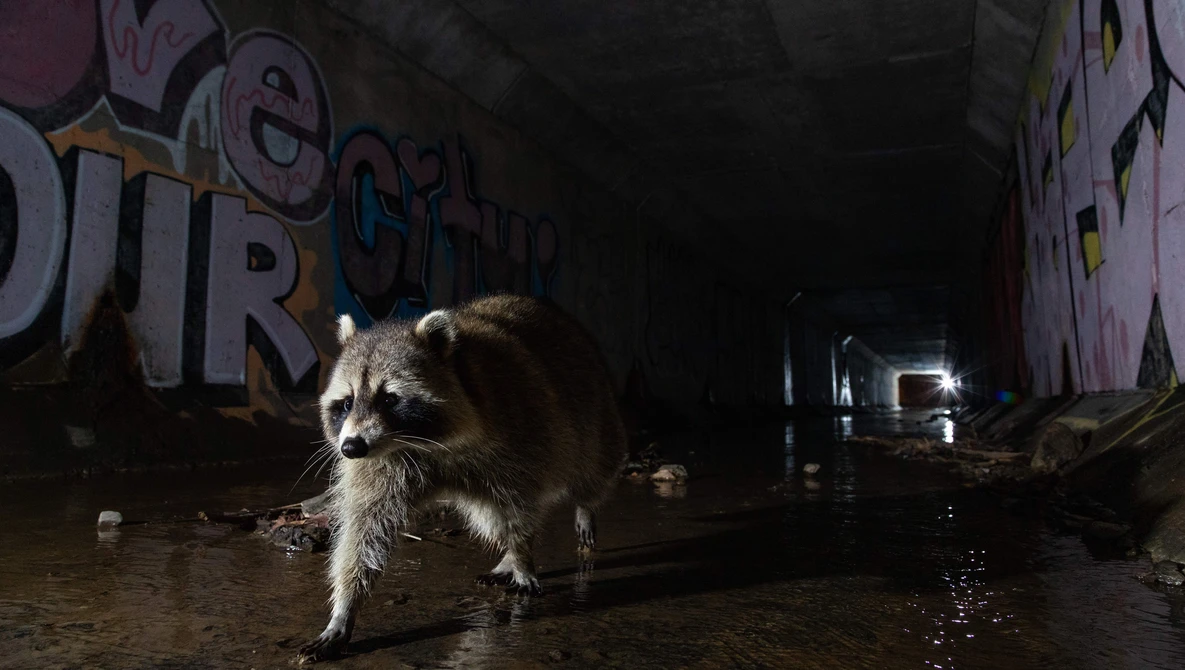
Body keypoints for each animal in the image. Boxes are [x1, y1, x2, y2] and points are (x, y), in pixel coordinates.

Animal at [297, 294, 627, 663]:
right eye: (347, 402)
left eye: (389, 398)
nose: (351, 448)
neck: (420, 443)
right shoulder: (380, 464)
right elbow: (364, 530)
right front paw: (344, 608)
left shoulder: (519, 431)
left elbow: (518, 507)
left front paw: (522, 554)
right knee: (488, 516)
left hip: (591, 409)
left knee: (589, 465)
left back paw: (581, 508)